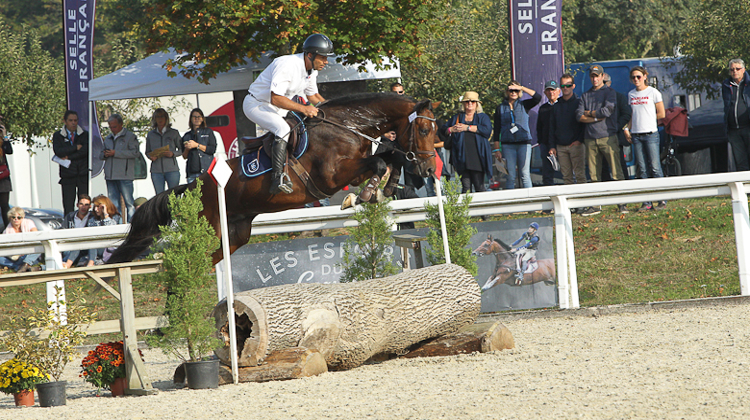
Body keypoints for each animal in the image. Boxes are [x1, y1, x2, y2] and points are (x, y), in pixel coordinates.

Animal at [108, 93, 444, 264]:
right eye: (424, 129)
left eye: (436, 130)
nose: (430, 171)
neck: (348, 126)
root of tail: (192, 187)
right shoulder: (332, 176)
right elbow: (378, 161)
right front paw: (361, 196)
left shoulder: (356, 166)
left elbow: (390, 158)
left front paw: (384, 189)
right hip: (212, 230)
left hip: (234, 236)